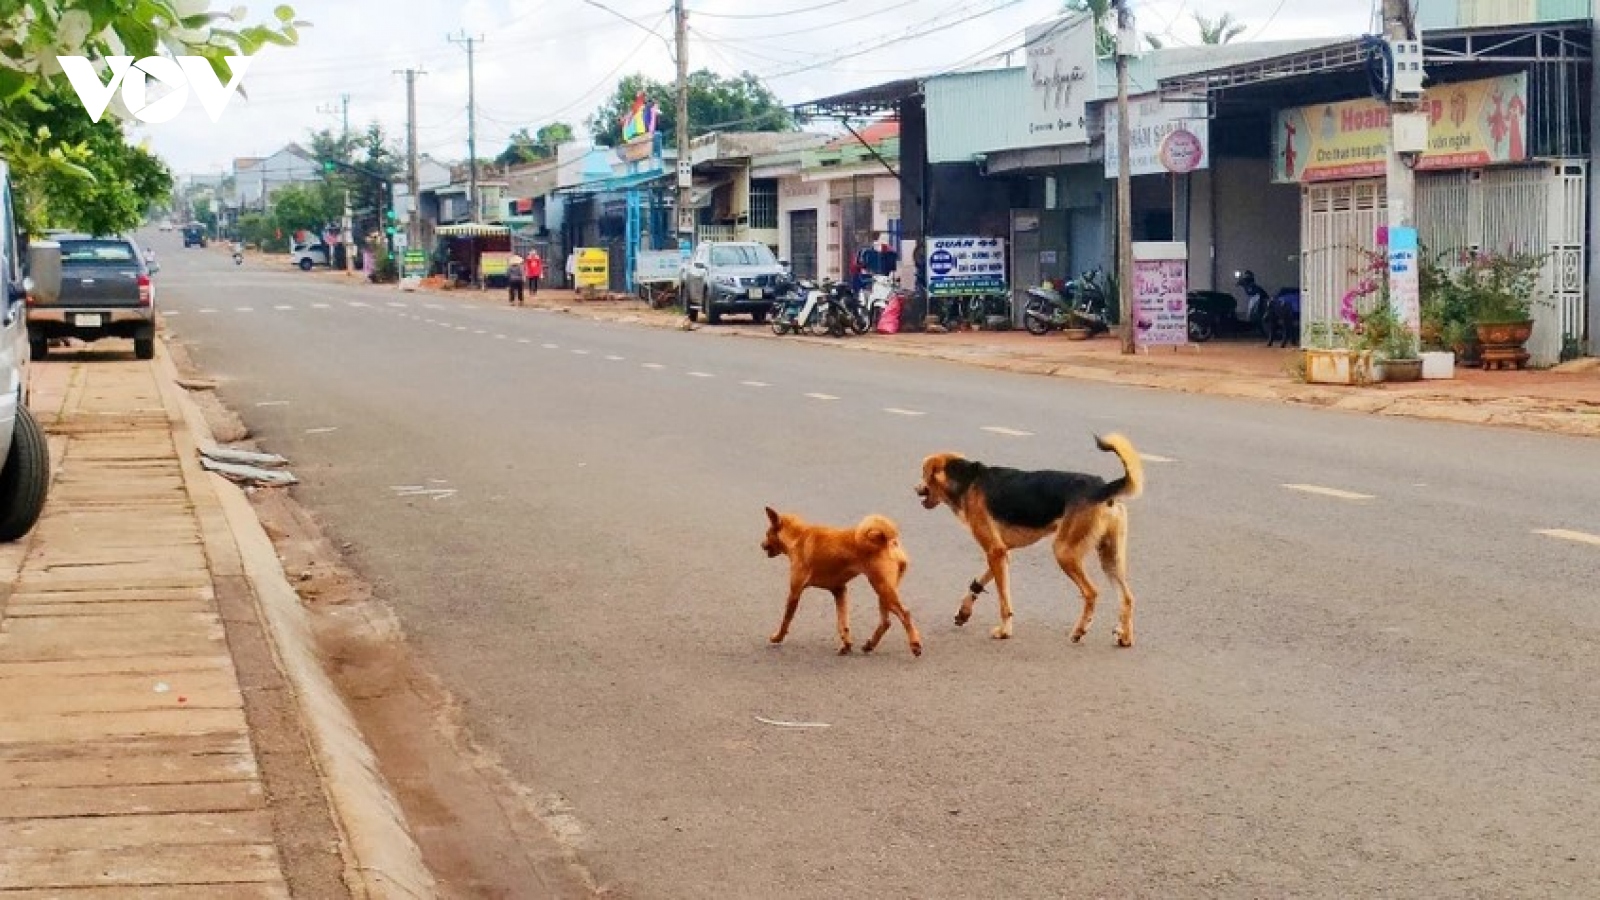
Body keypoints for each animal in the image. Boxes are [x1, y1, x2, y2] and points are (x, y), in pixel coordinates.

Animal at [761, 509, 928, 656]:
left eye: (767, 534)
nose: (761, 544)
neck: (798, 536)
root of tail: (885, 540)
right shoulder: (839, 590)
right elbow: (843, 623)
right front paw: (846, 645)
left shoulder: (795, 592)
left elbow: (785, 620)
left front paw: (777, 637)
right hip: (884, 591)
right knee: (886, 622)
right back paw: (869, 645)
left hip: (882, 588)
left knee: (905, 614)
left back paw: (915, 645)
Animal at [921, 432, 1145, 640]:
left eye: (923, 473)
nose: (916, 489)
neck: (968, 480)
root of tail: (1102, 487)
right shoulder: (1001, 553)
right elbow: (982, 582)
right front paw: (964, 611)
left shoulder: (995, 551)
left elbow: (1004, 601)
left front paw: (1004, 631)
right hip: (1109, 557)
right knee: (1127, 598)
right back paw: (1125, 637)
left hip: (1064, 552)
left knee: (1092, 593)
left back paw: (1079, 631)